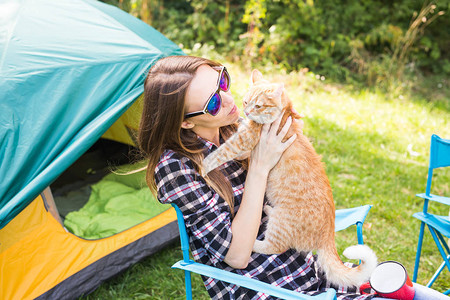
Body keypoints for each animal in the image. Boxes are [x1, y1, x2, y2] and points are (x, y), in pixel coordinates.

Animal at [203, 69, 376, 288]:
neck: (285, 116)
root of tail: (329, 234)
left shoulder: (243, 142)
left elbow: (221, 152)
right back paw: (268, 209)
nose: (247, 112)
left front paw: (204, 165)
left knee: (274, 247)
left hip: (281, 224)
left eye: (258, 105)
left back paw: (256, 242)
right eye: (245, 102)